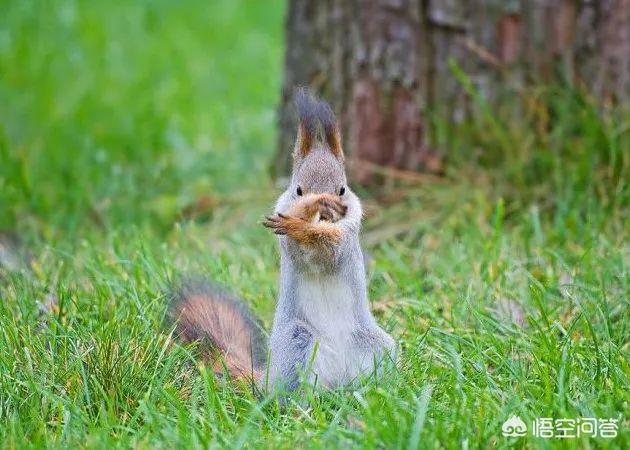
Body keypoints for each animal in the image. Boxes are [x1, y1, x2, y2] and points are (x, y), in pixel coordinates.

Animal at [168, 88, 396, 394]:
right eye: (297, 189)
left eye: (342, 189)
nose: (326, 212)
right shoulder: (289, 242)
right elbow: (300, 247)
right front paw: (303, 216)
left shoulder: (347, 237)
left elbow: (331, 249)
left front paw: (309, 227)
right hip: (296, 341)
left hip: (375, 346)